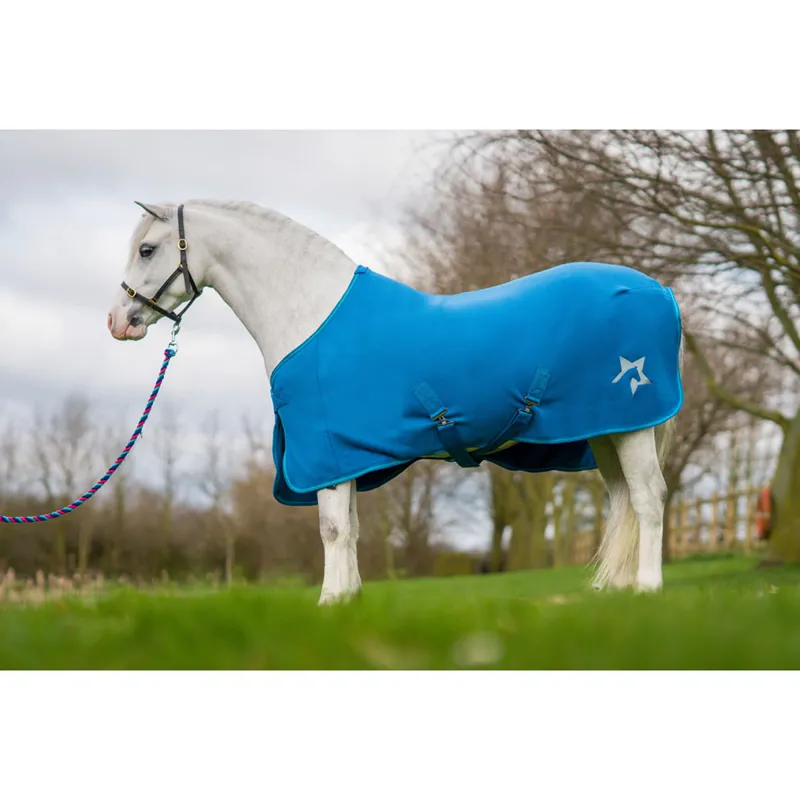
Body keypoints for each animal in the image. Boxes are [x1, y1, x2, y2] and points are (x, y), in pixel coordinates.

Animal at [108, 200, 683, 604]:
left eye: (147, 249)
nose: (119, 322)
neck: (310, 312)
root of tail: (661, 292)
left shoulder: (325, 452)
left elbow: (332, 529)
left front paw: (327, 602)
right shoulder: (345, 457)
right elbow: (352, 530)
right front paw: (347, 600)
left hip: (631, 422)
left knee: (649, 497)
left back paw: (649, 589)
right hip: (605, 430)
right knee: (623, 500)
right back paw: (616, 591)